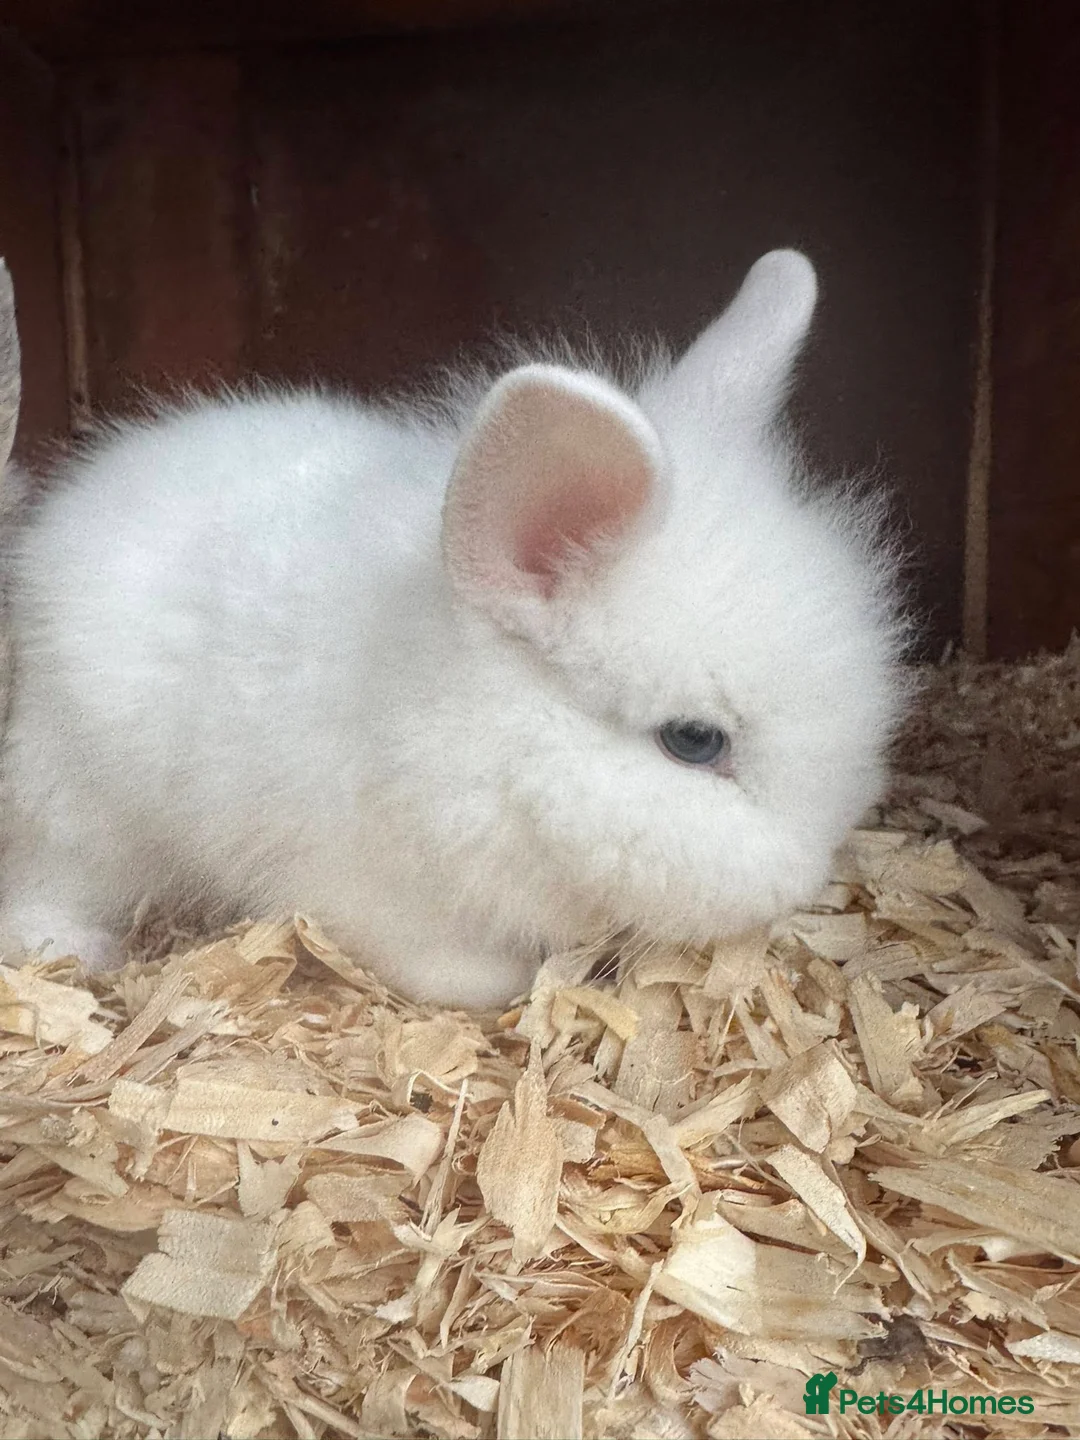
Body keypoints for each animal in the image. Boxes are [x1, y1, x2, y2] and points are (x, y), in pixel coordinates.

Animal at [0, 249, 907, 1008]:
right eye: (693, 741)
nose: (800, 884)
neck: (488, 733)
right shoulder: (371, 887)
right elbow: (456, 969)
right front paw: (510, 982)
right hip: (82, 806)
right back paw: (71, 950)